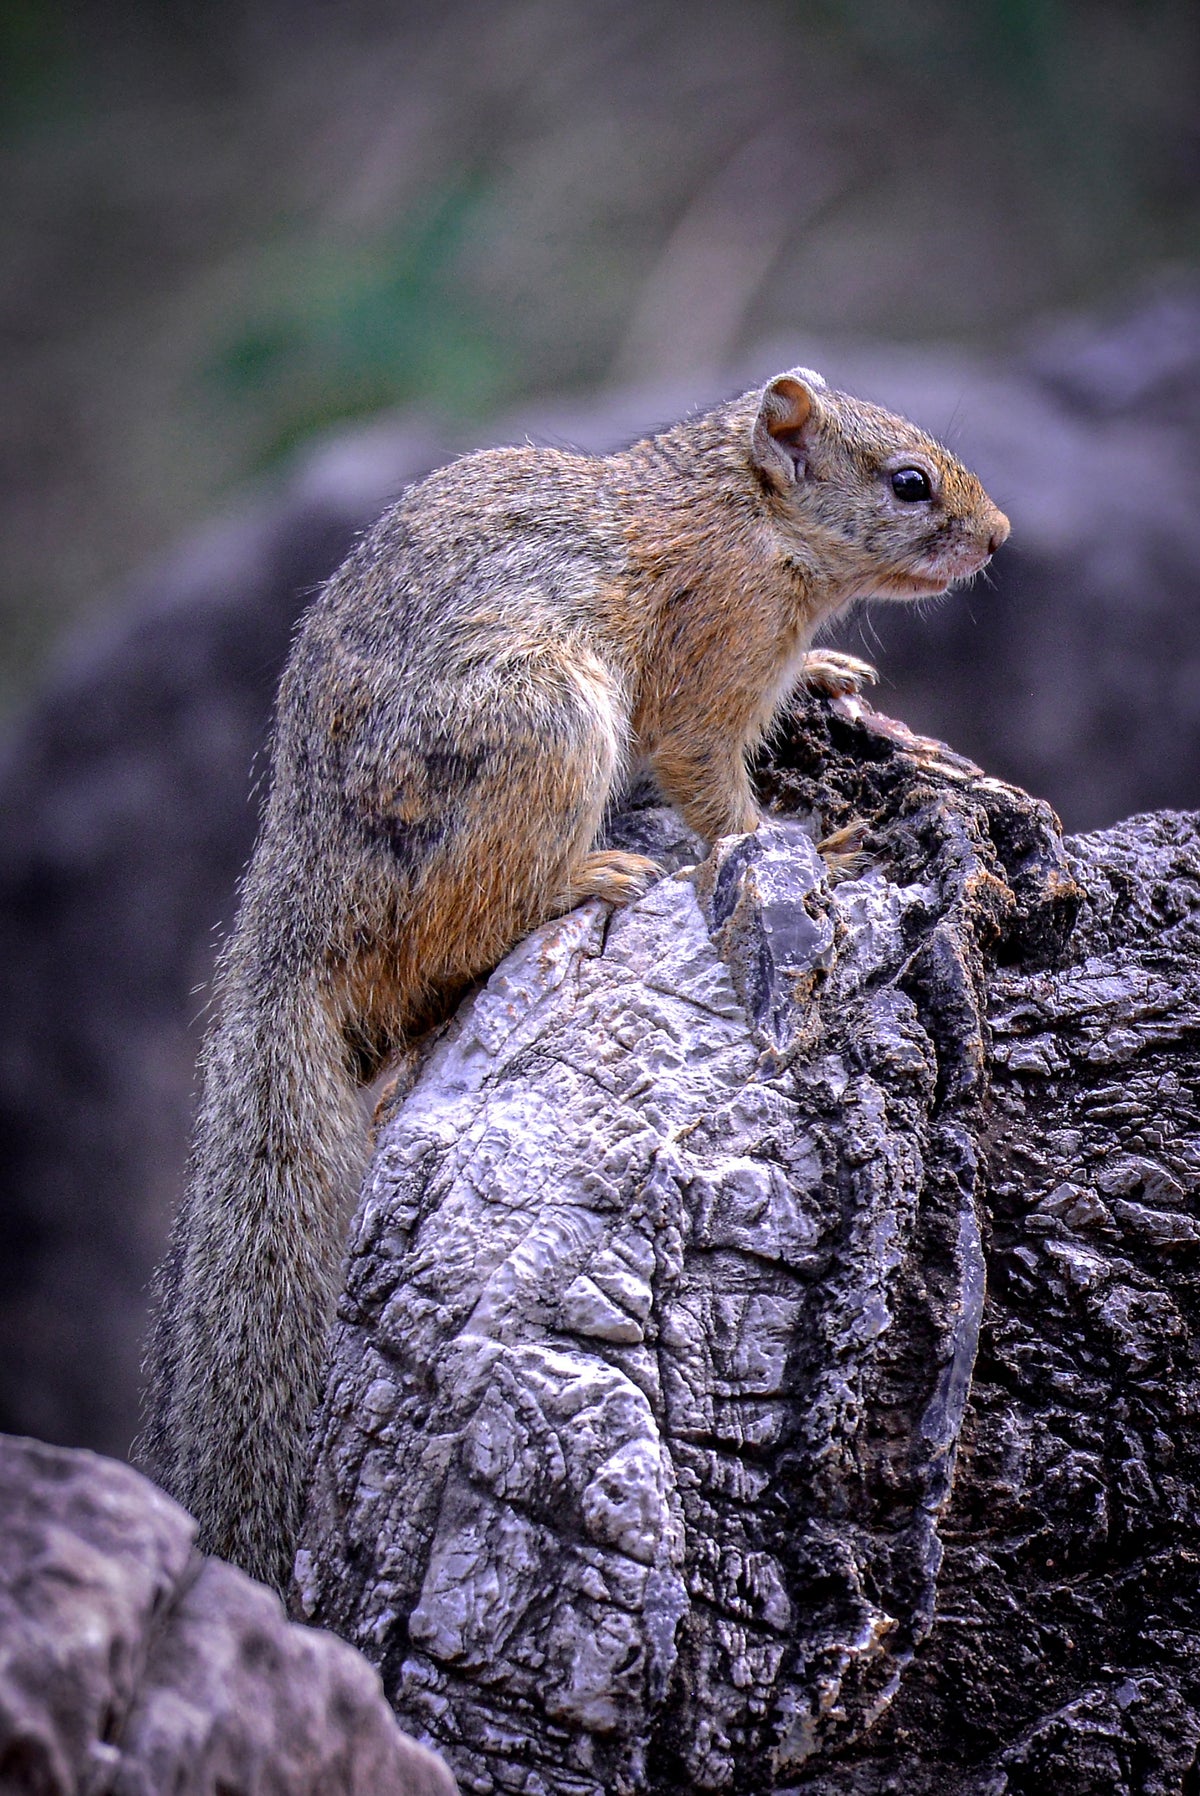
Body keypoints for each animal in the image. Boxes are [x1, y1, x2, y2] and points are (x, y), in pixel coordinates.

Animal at [140, 367, 1009, 1593]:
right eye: (909, 482)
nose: (999, 535)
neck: (744, 512)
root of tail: (304, 915)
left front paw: (830, 673)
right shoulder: (710, 649)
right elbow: (711, 782)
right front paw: (808, 843)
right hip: (537, 730)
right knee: (463, 934)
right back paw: (588, 876)